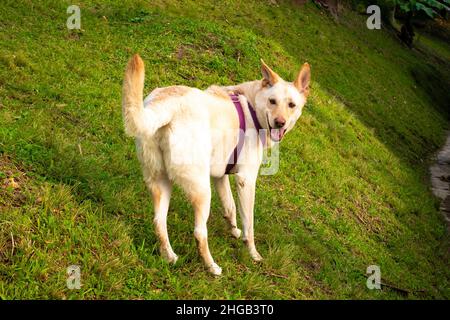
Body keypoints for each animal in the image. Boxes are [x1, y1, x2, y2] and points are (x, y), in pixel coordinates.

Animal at [121, 54, 310, 276]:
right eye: (273, 101)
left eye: (291, 105)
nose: (280, 123)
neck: (252, 106)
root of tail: (166, 106)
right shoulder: (246, 181)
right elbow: (249, 224)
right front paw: (253, 253)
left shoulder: (220, 176)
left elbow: (230, 207)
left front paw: (234, 230)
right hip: (202, 191)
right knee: (199, 233)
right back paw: (212, 267)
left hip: (161, 181)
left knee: (159, 222)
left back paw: (169, 256)